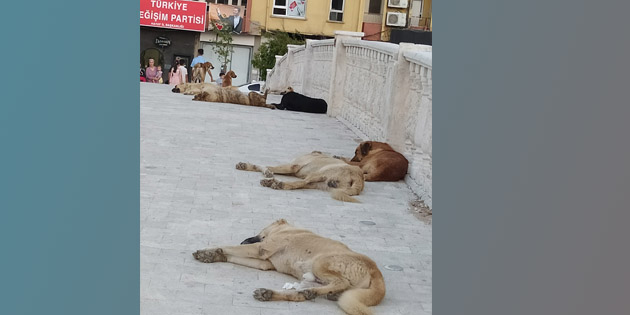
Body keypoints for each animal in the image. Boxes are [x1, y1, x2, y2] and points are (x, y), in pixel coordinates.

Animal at [191, 220, 386, 315]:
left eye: (259, 232)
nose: (243, 240)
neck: (286, 229)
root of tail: (375, 270)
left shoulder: (259, 249)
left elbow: (228, 247)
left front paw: (209, 250)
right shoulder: (265, 263)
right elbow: (231, 254)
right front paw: (213, 255)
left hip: (320, 263)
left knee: (340, 282)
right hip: (313, 278)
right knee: (299, 295)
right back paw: (271, 294)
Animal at [237, 152, 366, 204]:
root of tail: (359, 178)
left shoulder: (292, 167)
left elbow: (265, 166)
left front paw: (250, 166)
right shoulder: (292, 171)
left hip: (320, 174)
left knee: (301, 182)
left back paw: (277, 183)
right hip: (321, 183)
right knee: (299, 184)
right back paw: (274, 183)